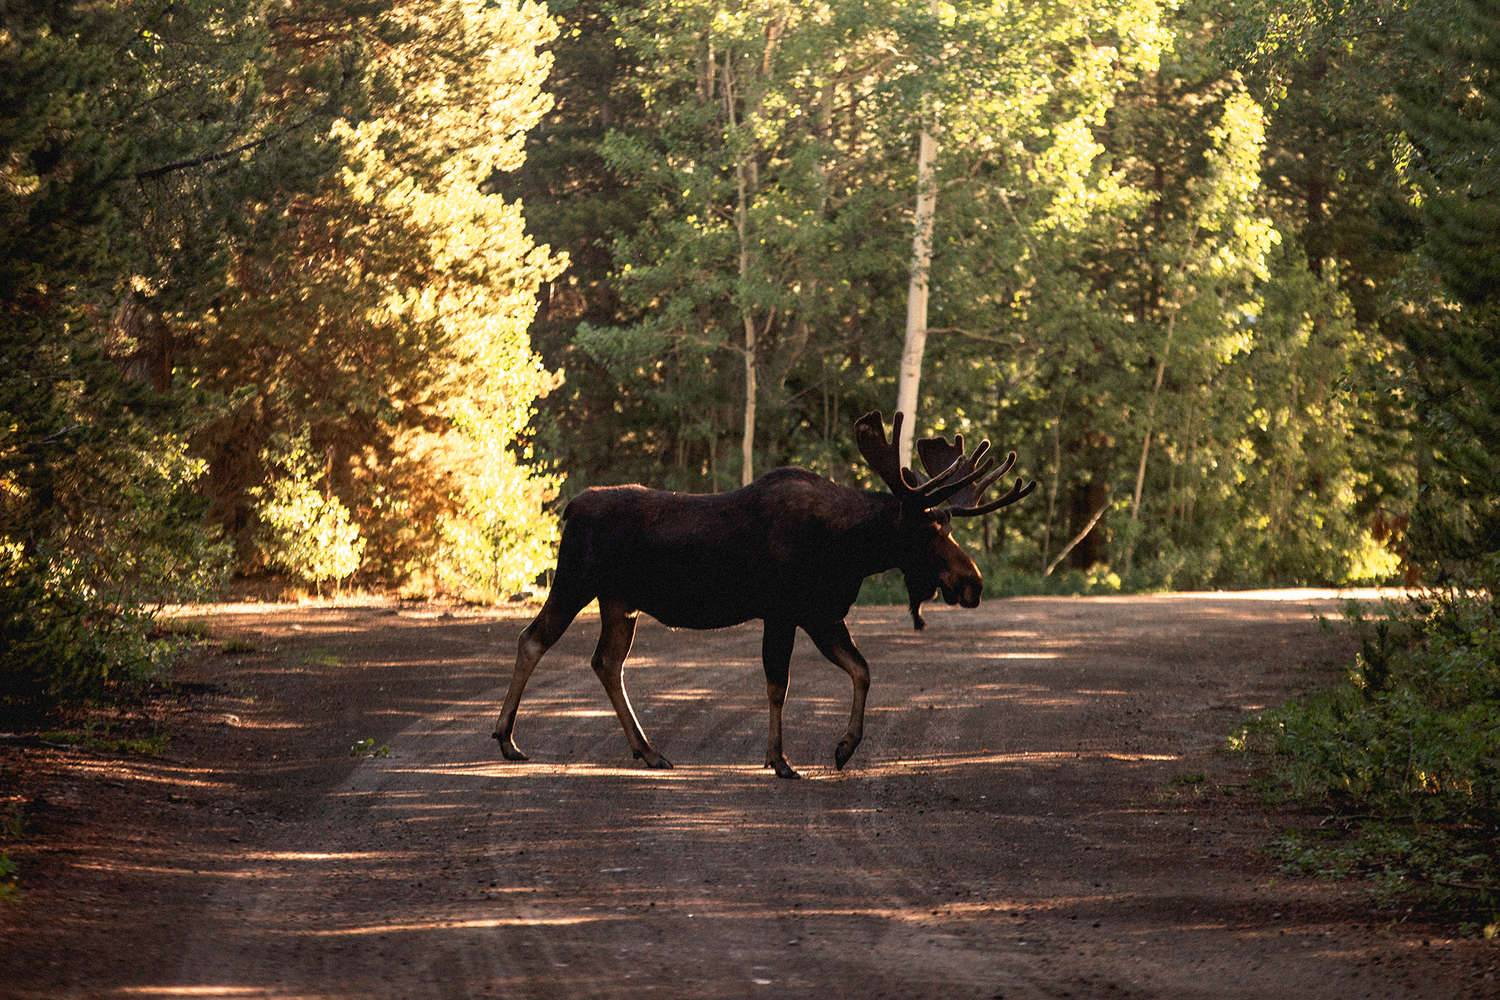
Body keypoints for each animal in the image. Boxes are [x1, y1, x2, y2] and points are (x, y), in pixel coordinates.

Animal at [492, 410, 1032, 779]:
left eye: (948, 526)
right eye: (927, 529)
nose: (973, 582)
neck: (848, 550)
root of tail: (570, 508)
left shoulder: (822, 614)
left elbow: (862, 670)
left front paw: (844, 748)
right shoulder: (784, 610)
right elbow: (779, 684)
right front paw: (780, 759)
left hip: (620, 603)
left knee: (606, 661)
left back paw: (648, 750)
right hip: (575, 580)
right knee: (533, 639)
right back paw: (506, 738)